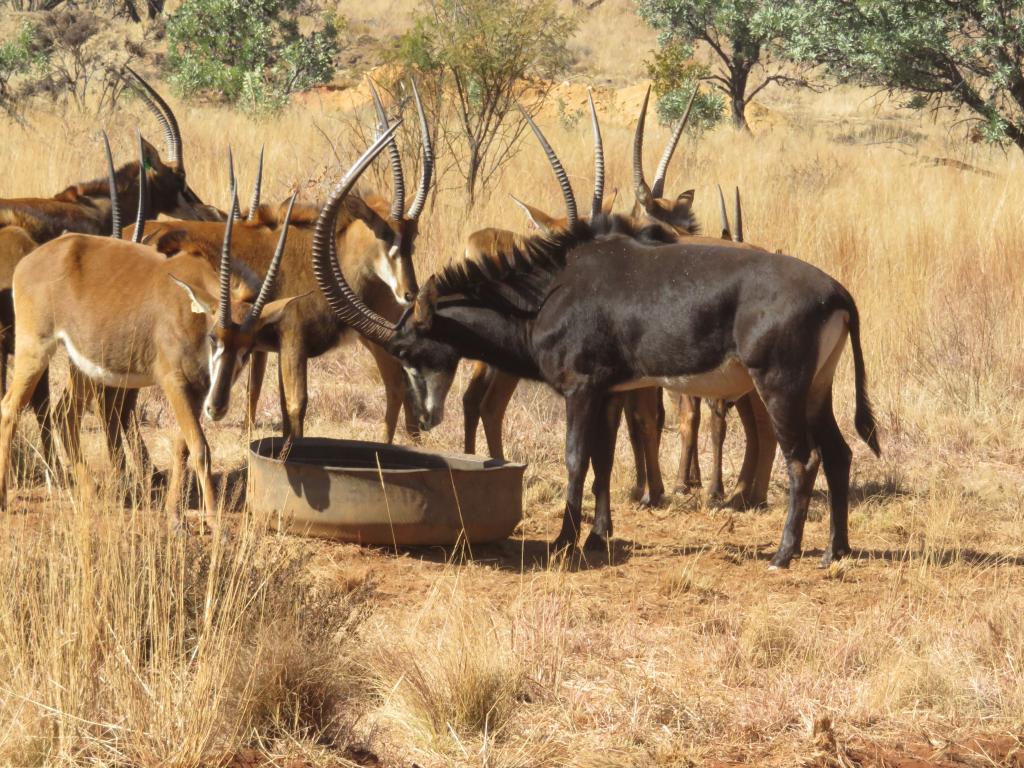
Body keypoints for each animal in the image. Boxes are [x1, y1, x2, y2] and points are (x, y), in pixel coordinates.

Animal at [0, 145, 305, 528]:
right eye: (215, 338)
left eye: (248, 348)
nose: (218, 407)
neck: (192, 309)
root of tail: (32, 258)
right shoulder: (173, 381)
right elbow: (201, 448)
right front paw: (213, 521)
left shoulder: (197, 390)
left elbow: (182, 446)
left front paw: (175, 515)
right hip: (34, 349)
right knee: (11, 408)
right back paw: (5, 498)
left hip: (82, 365)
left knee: (64, 417)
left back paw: (90, 494)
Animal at [313, 131, 880, 573]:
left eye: (408, 347)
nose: (426, 418)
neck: (549, 292)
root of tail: (836, 292)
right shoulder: (610, 390)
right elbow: (604, 460)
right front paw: (597, 534)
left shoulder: (580, 388)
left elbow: (575, 457)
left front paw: (565, 539)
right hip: (816, 389)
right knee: (839, 453)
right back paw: (834, 551)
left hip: (780, 387)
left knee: (803, 460)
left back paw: (784, 555)